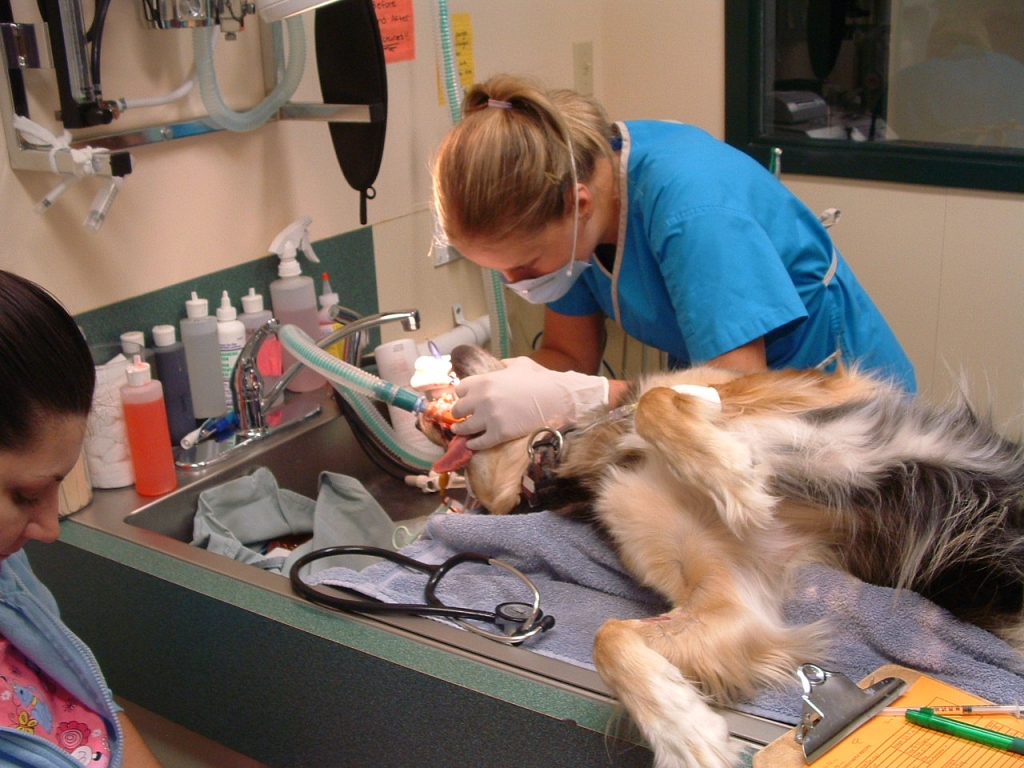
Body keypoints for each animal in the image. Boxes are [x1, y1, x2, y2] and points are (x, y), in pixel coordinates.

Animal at [419, 348, 1024, 768]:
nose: (457, 353)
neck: (574, 461)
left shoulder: (798, 390)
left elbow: (657, 404)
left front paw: (730, 475)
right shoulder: (734, 595)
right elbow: (608, 636)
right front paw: (685, 731)